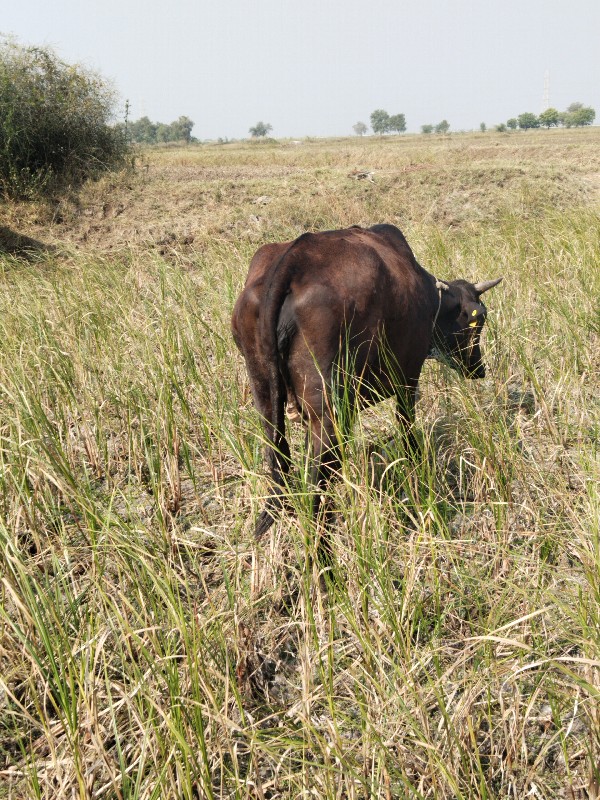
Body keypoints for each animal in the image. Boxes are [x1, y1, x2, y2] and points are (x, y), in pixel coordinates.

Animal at [232, 222, 504, 540]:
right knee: (315, 485)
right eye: (479, 319)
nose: (479, 369)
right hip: (329, 413)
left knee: (279, 461)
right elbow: (406, 428)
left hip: (266, 398)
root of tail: (292, 260)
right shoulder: (408, 377)